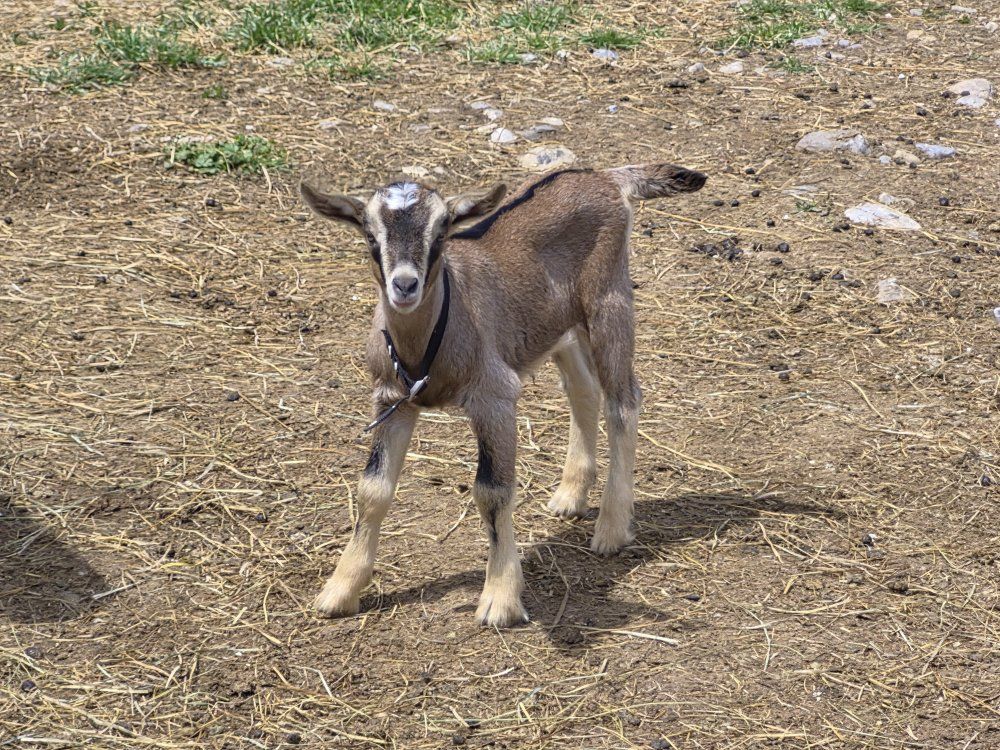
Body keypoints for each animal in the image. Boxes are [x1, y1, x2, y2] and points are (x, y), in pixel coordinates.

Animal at [300, 163, 707, 627]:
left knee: (624, 401)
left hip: (609, 300)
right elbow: (373, 489)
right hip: (556, 325)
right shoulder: (392, 401)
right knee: (583, 389)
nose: (405, 285)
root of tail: (604, 176)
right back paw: (570, 495)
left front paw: (500, 598)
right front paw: (340, 590)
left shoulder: (494, 397)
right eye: (370, 234)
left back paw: (611, 528)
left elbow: (492, 492)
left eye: (441, 232)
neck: (433, 340)